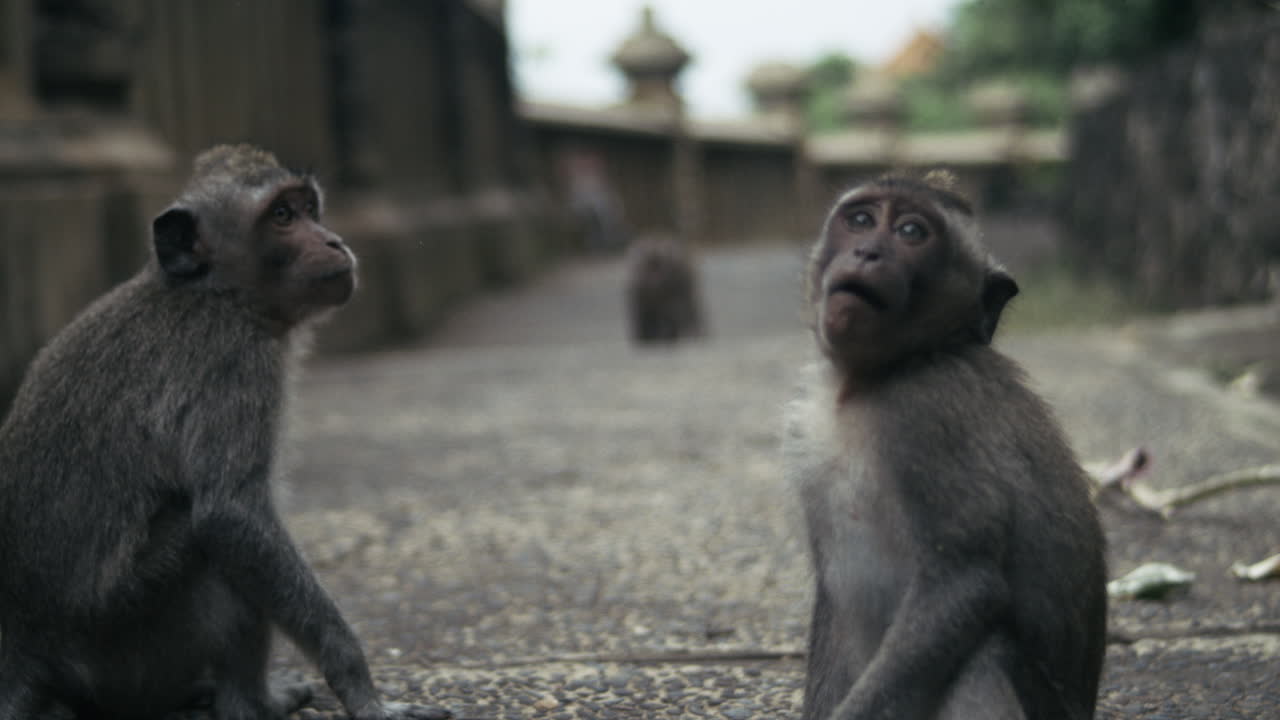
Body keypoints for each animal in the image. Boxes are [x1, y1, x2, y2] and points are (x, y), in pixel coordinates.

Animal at [0, 145, 450, 720]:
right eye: (282, 216)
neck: (216, 291)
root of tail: (26, 645)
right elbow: (230, 515)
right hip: (121, 643)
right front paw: (362, 691)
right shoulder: (234, 362)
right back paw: (249, 702)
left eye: (309, 208)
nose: (334, 240)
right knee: (211, 547)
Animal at [783, 171, 1107, 720]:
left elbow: (963, 585)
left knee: (984, 652)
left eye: (911, 232)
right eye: (861, 220)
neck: (876, 377)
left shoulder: (928, 415)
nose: (867, 252)